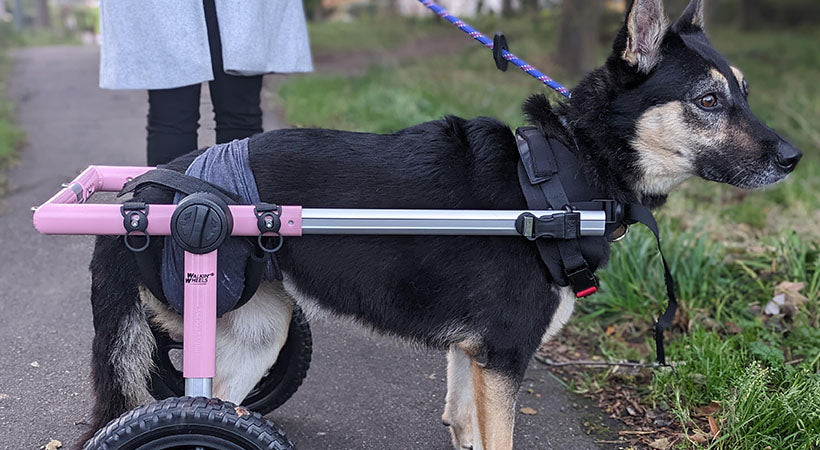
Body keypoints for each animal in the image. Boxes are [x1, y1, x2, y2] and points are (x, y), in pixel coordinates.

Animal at [85, 1, 800, 448]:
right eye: (708, 100)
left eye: (744, 94)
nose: (794, 157)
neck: (570, 169)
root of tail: (147, 190)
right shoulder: (503, 359)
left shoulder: (471, 362)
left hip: (260, 330)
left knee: (207, 399)